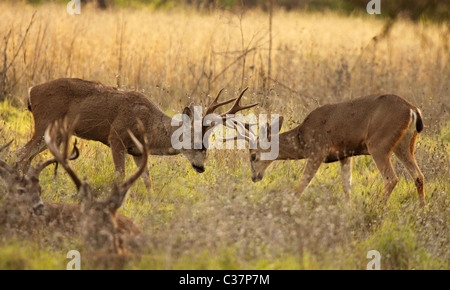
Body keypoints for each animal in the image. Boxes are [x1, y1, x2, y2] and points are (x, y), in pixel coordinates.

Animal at [17, 78, 256, 189]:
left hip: (53, 132)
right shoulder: (116, 138)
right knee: (21, 153)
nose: (202, 168)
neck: (148, 124)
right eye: (197, 144)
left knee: (26, 156)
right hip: (45, 123)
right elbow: (120, 175)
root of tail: (31, 91)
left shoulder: (139, 152)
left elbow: (147, 181)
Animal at [232, 94, 426, 205]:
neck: (302, 138)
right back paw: (421, 212)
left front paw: (289, 209)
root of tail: (412, 110)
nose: (254, 177)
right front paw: (348, 211)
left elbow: (302, 184)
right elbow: (347, 186)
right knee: (418, 176)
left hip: (379, 144)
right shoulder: (346, 154)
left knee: (391, 179)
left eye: (253, 156)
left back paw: (376, 209)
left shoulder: (317, 151)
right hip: (404, 145)